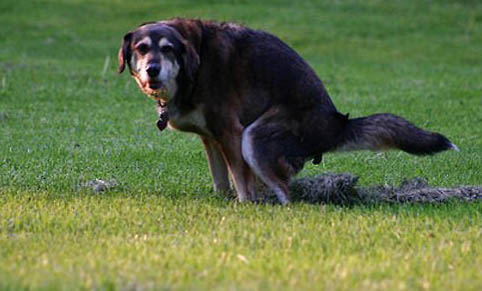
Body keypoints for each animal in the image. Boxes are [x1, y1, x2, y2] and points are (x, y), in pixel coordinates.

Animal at [118, 18, 458, 205]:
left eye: (168, 49)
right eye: (141, 49)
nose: (152, 69)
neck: (194, 65)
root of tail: (336, 125)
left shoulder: (230, 131)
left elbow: (240, 181)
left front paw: (244, 207)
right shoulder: (211, 138)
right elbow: (221, 179)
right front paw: (222, 201)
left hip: (255, 137)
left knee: (286, 192)